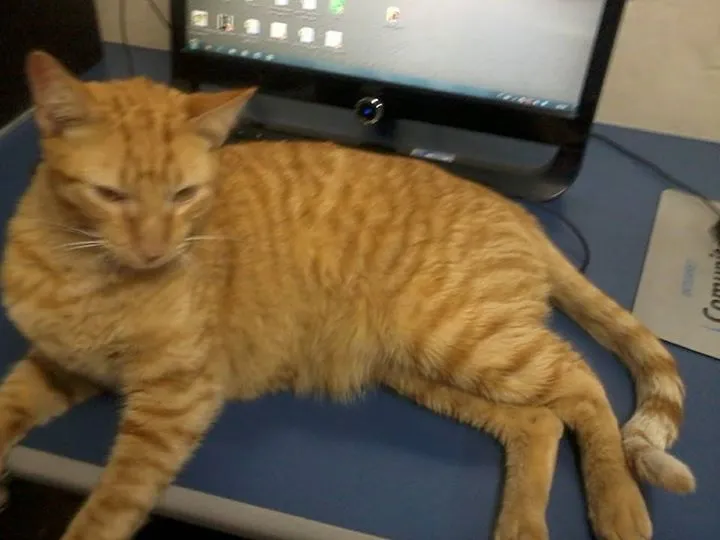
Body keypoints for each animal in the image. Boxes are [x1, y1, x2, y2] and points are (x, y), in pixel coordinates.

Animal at [0, 50, 694, 540]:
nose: (154, 249)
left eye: (184, 195)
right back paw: (522, 526)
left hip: (464, 336)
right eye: (111, 195)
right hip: (423, 366)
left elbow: (113, 502)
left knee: (583, 383)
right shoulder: (61, 365)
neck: (85, 272)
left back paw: (617, 502)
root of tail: (514, 208)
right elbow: (9, 404)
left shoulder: (175, 396)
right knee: (540, 420)